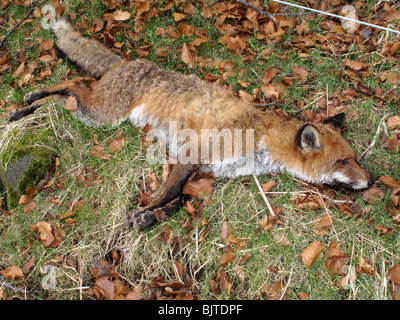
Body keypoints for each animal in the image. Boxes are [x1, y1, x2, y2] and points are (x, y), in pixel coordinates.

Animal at [8, 19, 372, 230]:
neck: (259, 141)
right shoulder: (192, 152)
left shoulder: (206, 170)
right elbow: (169, 191)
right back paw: (26, 106)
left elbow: (179, 200)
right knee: (69, 86)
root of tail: (132, 62)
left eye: (355, 158)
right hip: (103, 115)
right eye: (343, 162)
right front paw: (147, 211)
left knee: (70, 91)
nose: (370, 181)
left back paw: (28, 107)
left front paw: (149, 218)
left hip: (97, 112)